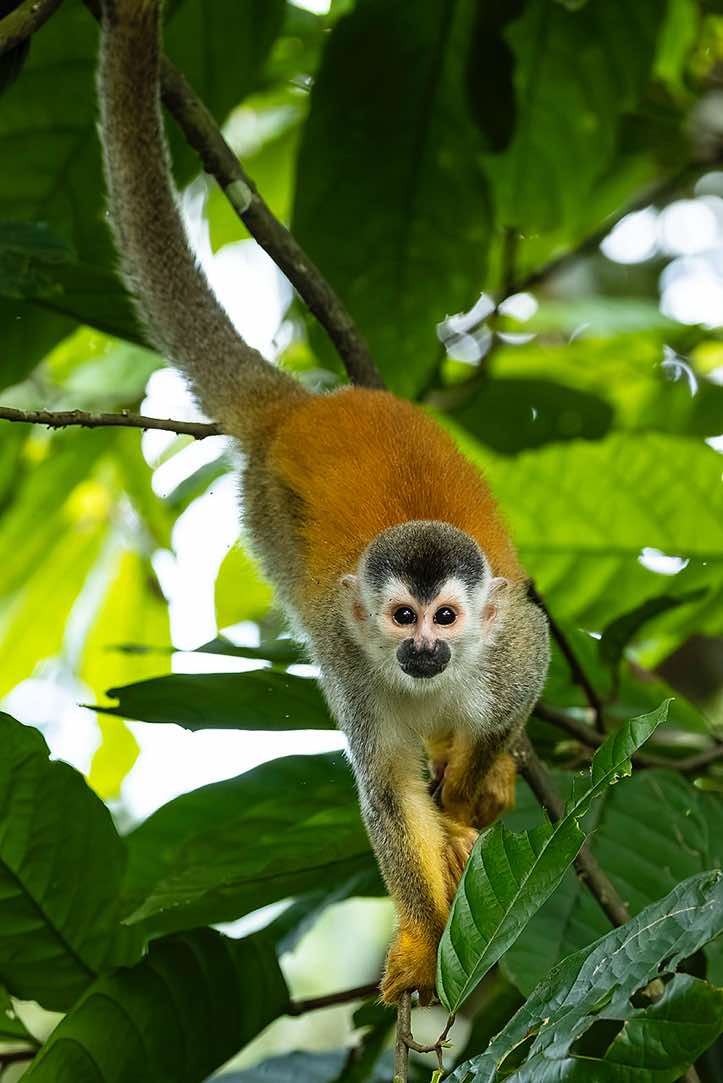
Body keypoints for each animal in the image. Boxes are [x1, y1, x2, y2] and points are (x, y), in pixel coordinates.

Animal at [97, 0, 550, 1004]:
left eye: (446, 616)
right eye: (400, 617)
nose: (422, 649)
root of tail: (303, 408)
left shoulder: (508, 649)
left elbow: (520, 673)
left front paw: (474, 778)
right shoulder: (350, 665)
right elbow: (383, 793)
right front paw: (422, 939)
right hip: (266, 512)